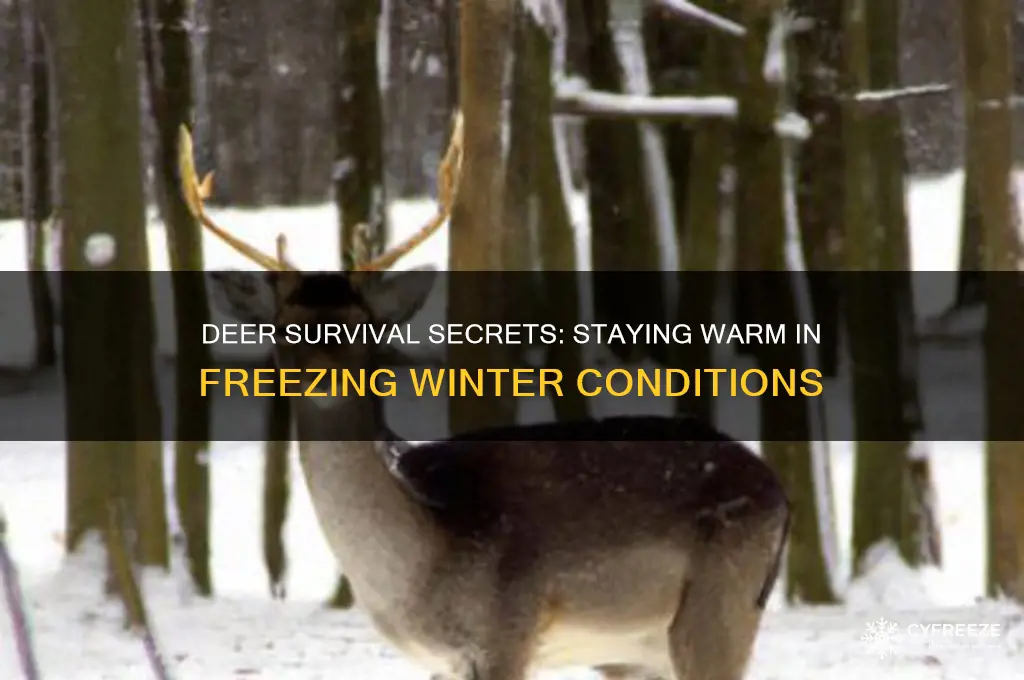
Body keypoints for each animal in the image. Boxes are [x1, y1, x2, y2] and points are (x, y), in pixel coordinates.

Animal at [177, 118, 790, 680]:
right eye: (284, 328)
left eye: (363, 326)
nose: (323, 376)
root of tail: (780, 495)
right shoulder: (441, 662)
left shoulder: (507, 628)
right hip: (636, 655)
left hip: (719, 608)